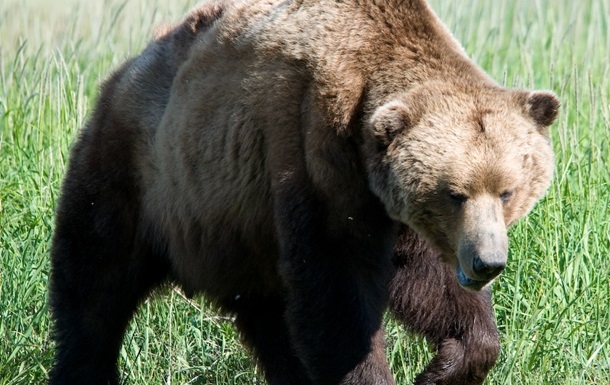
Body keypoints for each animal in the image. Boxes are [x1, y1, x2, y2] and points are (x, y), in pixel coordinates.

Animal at [50, 0, 560, 384]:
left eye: (507, 191)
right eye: (454, 193)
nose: (486, 263)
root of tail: (125, 69)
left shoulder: (392, 208)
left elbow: (429, 283)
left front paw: (446, 365)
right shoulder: (315, 155)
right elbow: (338, 292)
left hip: (242, 238)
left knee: (270, 322)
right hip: (138, 176)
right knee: (93, 288)